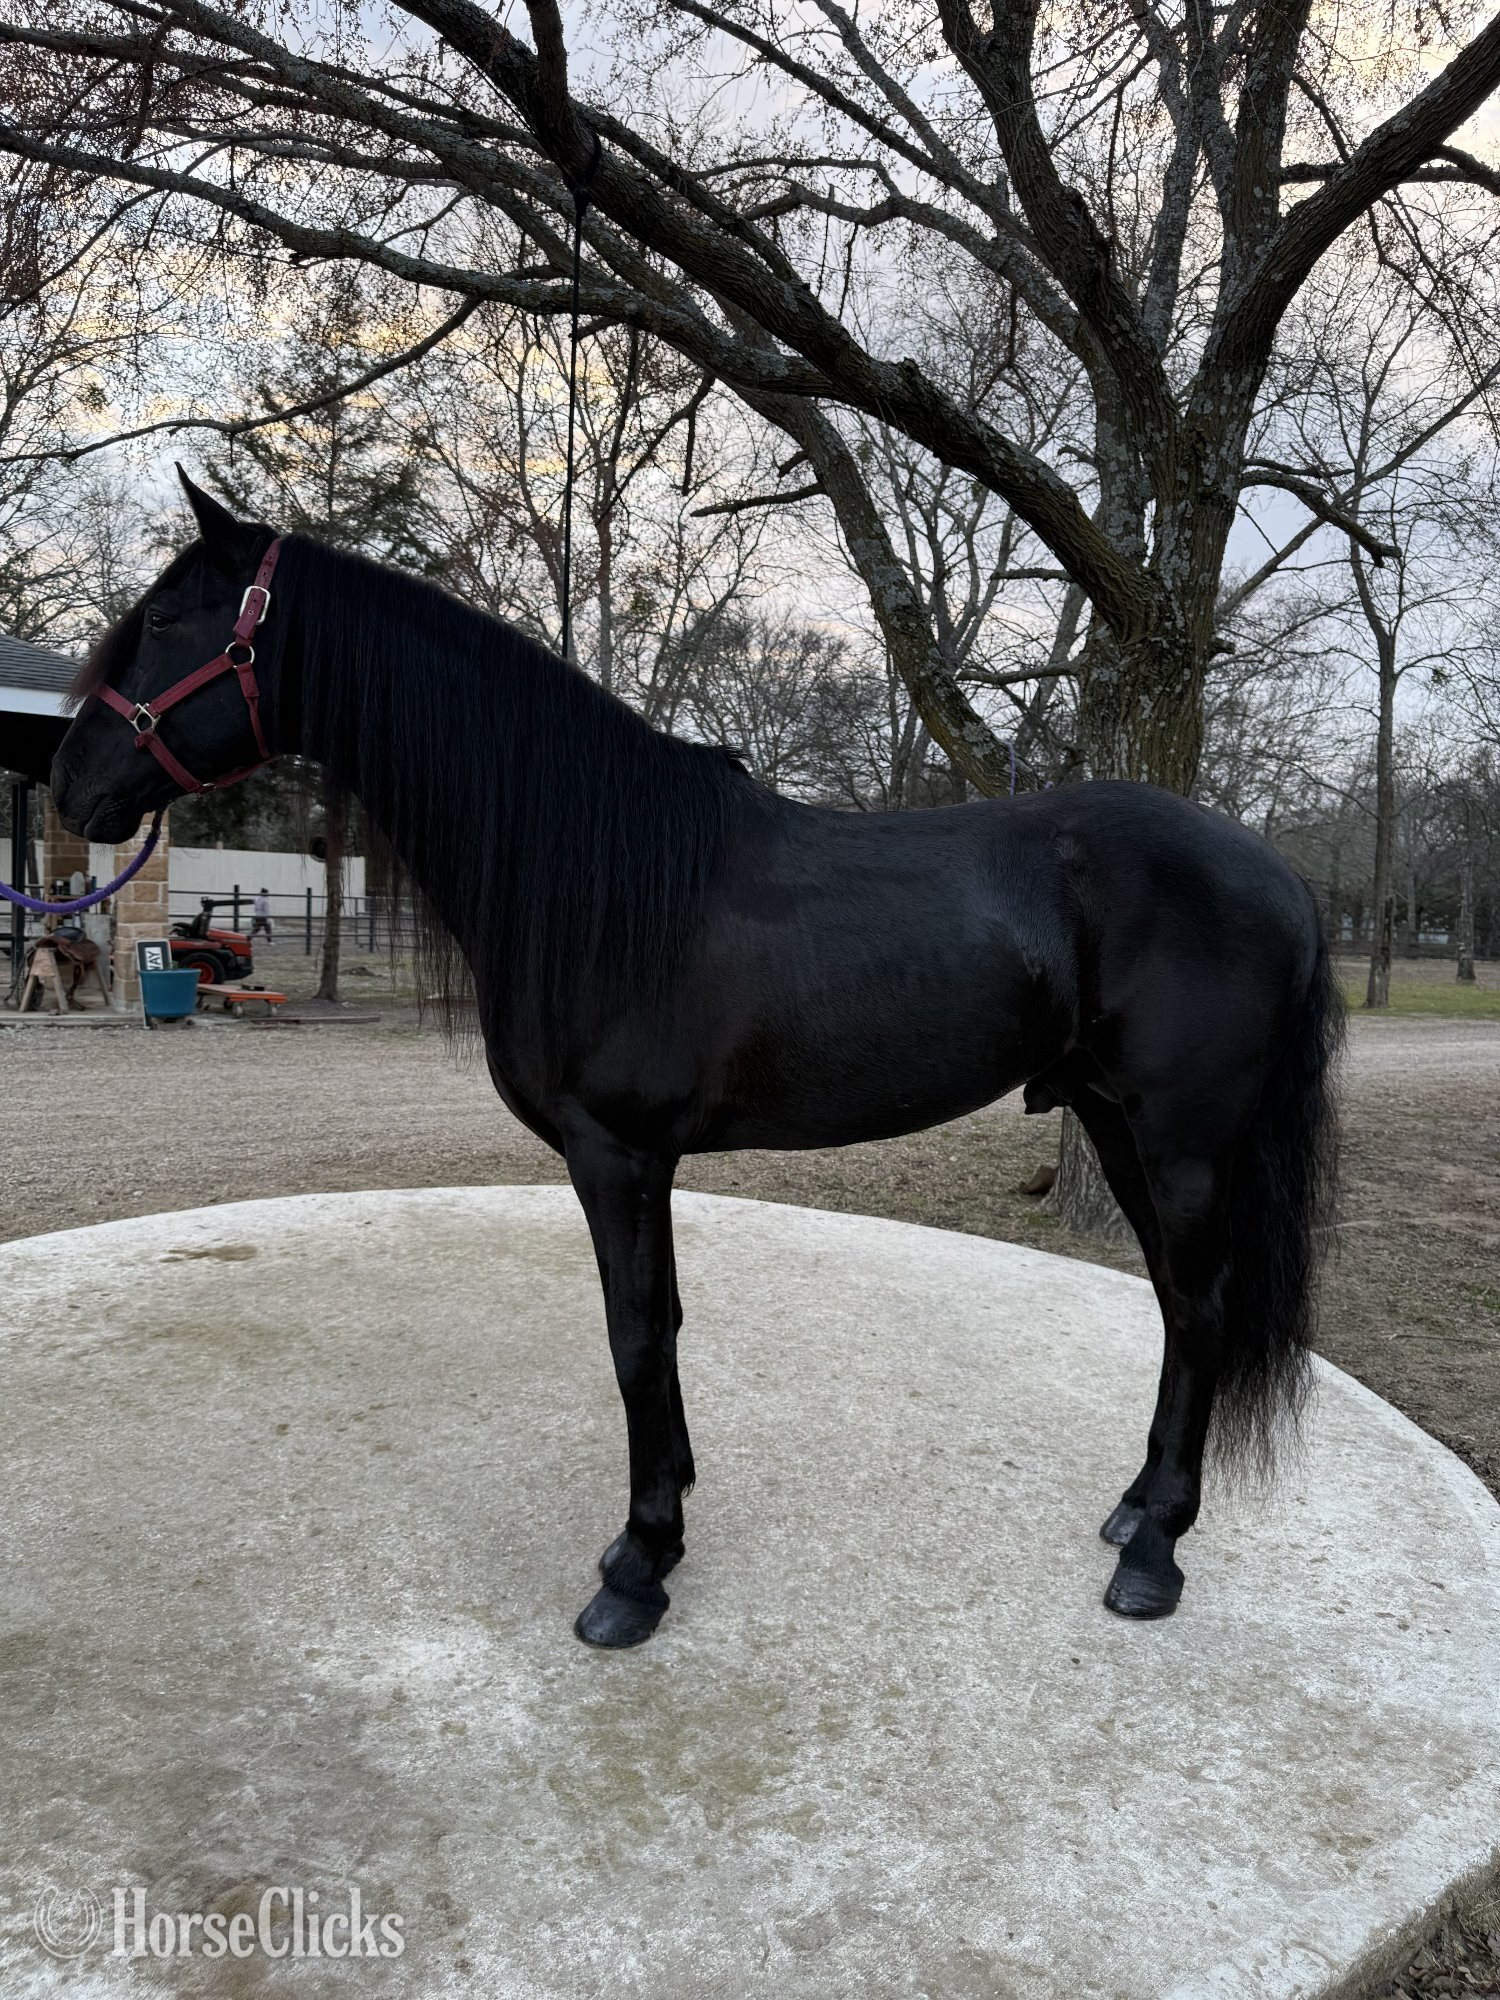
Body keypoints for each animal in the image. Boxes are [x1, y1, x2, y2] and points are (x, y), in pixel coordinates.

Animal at [50, 472, 1341, 1649]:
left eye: (168, 620)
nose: (68, 783)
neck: (593, 872)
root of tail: (1279, 872)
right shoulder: (645, 1159)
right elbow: (660, 1325)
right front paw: (660, 1530)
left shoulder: (615, 1151)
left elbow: (633, 1337)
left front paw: (637, 1566)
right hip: (1119, 1123)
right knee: (1177, 1303)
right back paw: (1134, 1510)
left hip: (1182, 1138)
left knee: (1203, 1307)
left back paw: (1156, 1554)